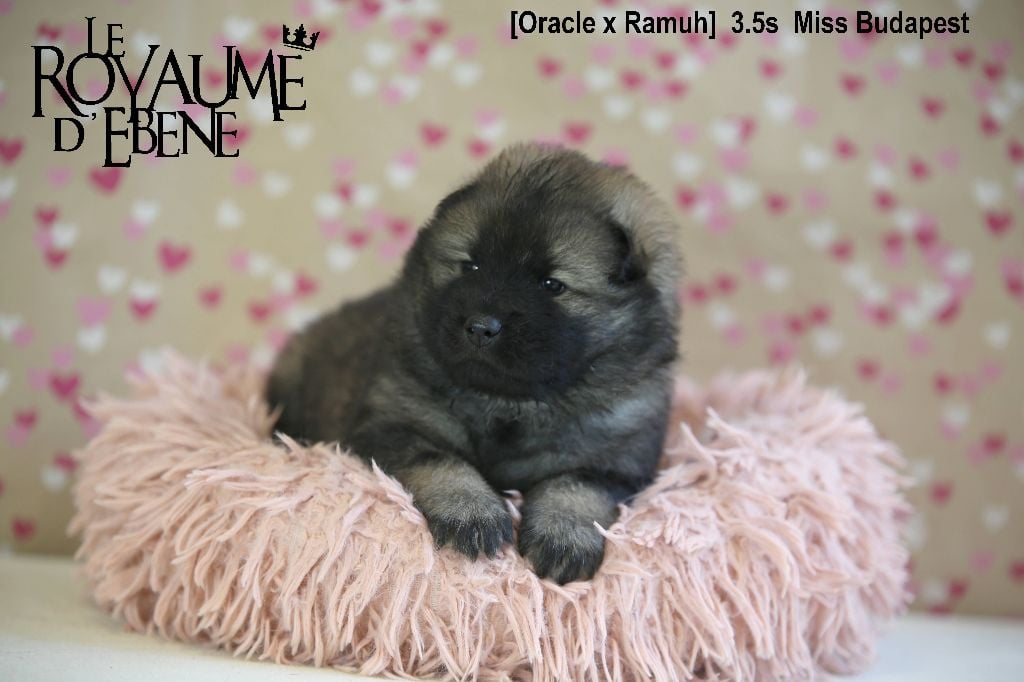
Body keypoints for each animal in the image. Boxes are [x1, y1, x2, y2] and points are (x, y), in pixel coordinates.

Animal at [266, 143, 681, 583]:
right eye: (471, 266)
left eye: (552, 285)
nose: (481, 327)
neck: (509, 403)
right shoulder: (396, 424)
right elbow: (443, 462)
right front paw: (471, 514)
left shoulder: (617, 460)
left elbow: (576, 487)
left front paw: (563, 538)